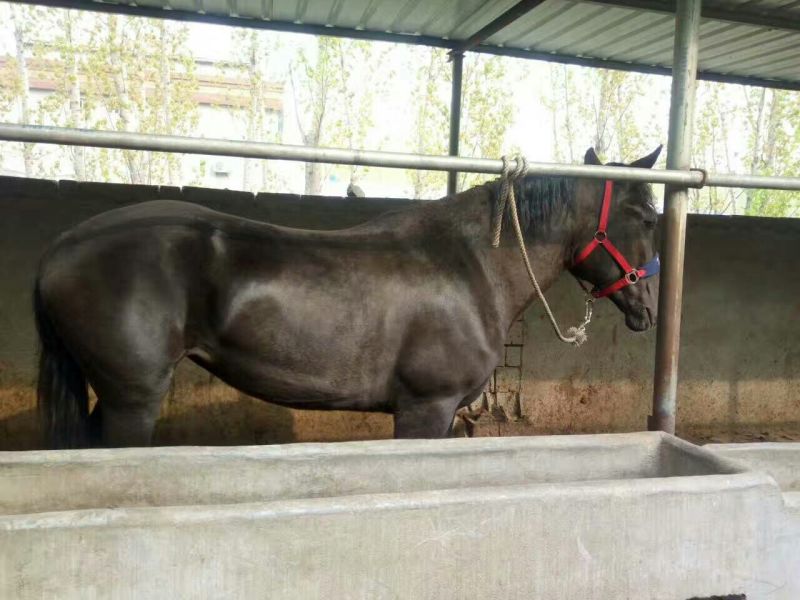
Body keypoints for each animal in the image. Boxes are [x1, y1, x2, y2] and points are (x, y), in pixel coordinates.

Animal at [34, 146, 662, 448]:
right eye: (647, 217)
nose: (647, 310)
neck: (471, 266)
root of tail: (61, 247)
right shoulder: (425, 409)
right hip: (132, 400)